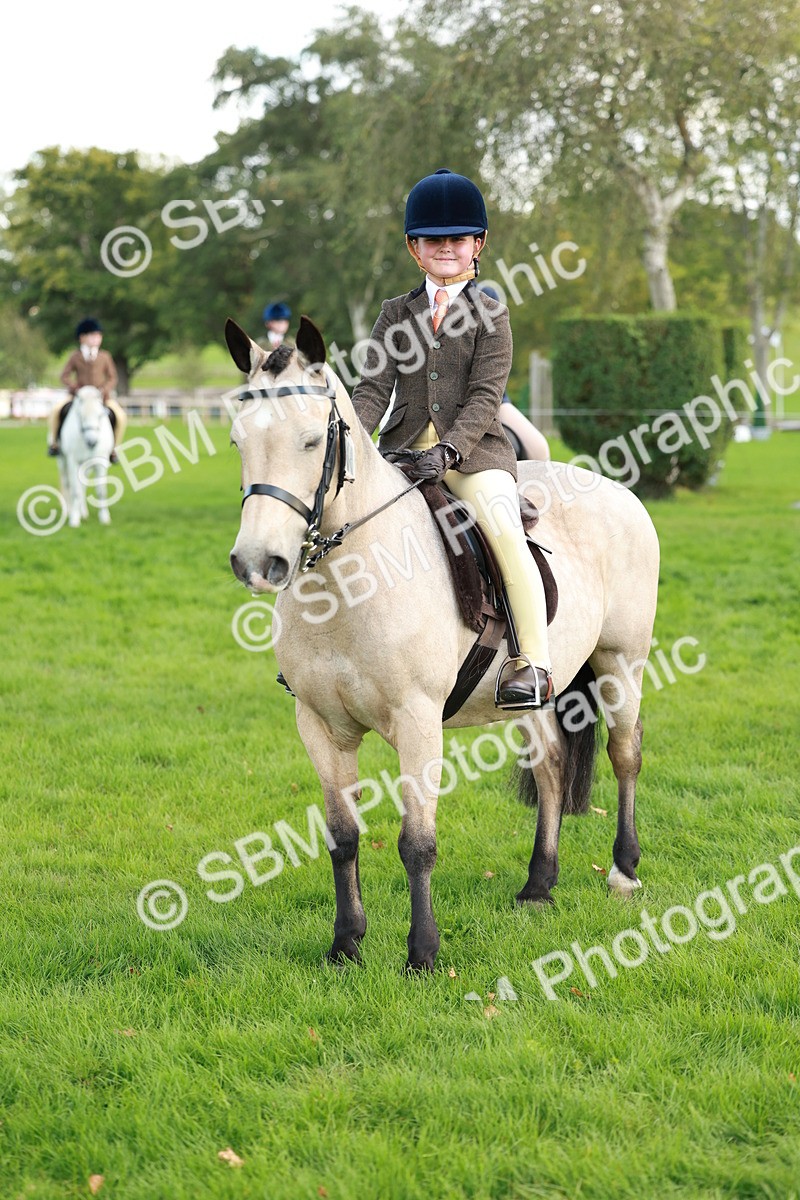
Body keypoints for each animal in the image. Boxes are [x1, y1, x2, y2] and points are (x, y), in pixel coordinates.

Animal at [57, 386, 115, 528]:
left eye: (100, 416)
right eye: (80, 416)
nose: (92, 442)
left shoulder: (100, 463)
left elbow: (101, 491)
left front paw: (104, 518)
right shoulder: (73, 462)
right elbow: (75, 491)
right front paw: (74, 519)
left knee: (82, 485)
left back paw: (83, 512)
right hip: (62, 460)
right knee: (68, 484)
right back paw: (70, 511)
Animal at [225, 316, 660, 972]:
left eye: (309, 440)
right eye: (237, 441)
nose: (258, 562)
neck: (349, 585)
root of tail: (615, 488)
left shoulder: (417, 720)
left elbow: (417, 843)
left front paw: (423, 954)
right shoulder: (321, 726)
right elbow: (343, 836)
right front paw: (345, 944)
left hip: (621, 663)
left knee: (624, 753)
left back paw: (623, 872)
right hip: (536, 686)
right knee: (552, 766)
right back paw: (538, 886)